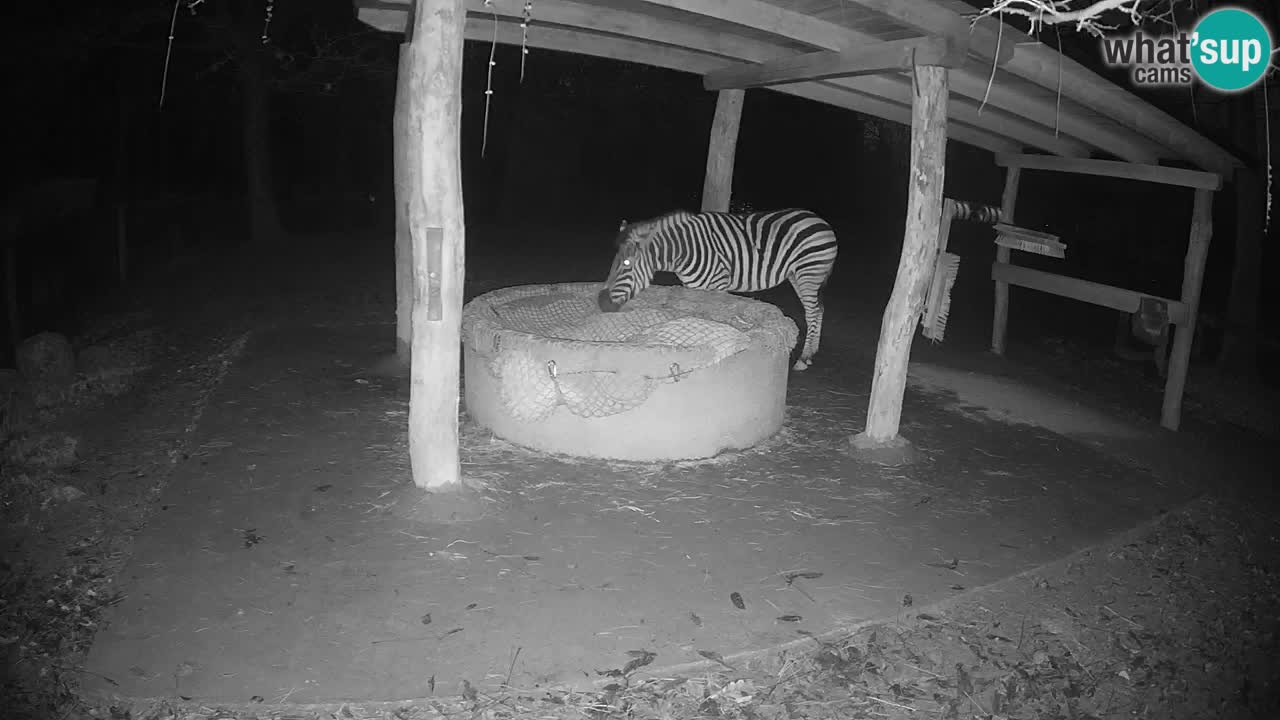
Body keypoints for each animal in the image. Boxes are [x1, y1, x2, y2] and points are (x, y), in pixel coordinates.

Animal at [597, 208, 839, 371]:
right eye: (613, 262)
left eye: (626, 264)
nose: (601, 302)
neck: (684, 251)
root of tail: (819, 219)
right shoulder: (693, 286)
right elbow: (694, 315)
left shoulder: (719, 285)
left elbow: (716, 316)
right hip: (797, 275)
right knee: (819, 309)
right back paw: (812, 352)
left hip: (809, 273)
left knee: (812, 312)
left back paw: (803, 358)